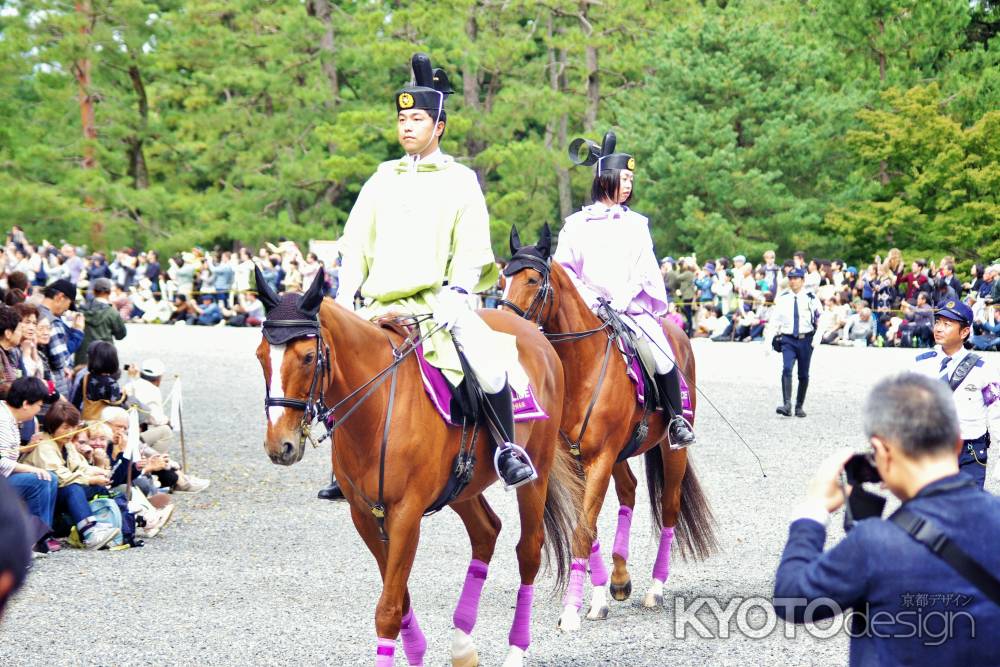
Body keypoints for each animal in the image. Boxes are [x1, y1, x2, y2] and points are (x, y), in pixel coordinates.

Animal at [254, 268, 584, 667]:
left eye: (306, 357)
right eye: (260, 356)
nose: (280, 445)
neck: (378, 410)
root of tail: (532, 332)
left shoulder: (406, 515)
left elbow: (388, 610)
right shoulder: (365, 516)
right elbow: (398, 598)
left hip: (536, 470)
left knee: (529, 551)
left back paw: (515, 651)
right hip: (462, 486)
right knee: (487, 531)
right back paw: (463, 647)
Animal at [508, 224, 720, 632]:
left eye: (532, 279)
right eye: (503, 279)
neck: (582, 368)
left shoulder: (600, 458)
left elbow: (582, 531)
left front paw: (572, 610)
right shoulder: (579, 461)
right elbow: (586, 529)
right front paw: (598, 597)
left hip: (671, 450)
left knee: (669, 509)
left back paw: (655, 589)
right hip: (620, 454)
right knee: (630, 491)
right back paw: (621, 579)